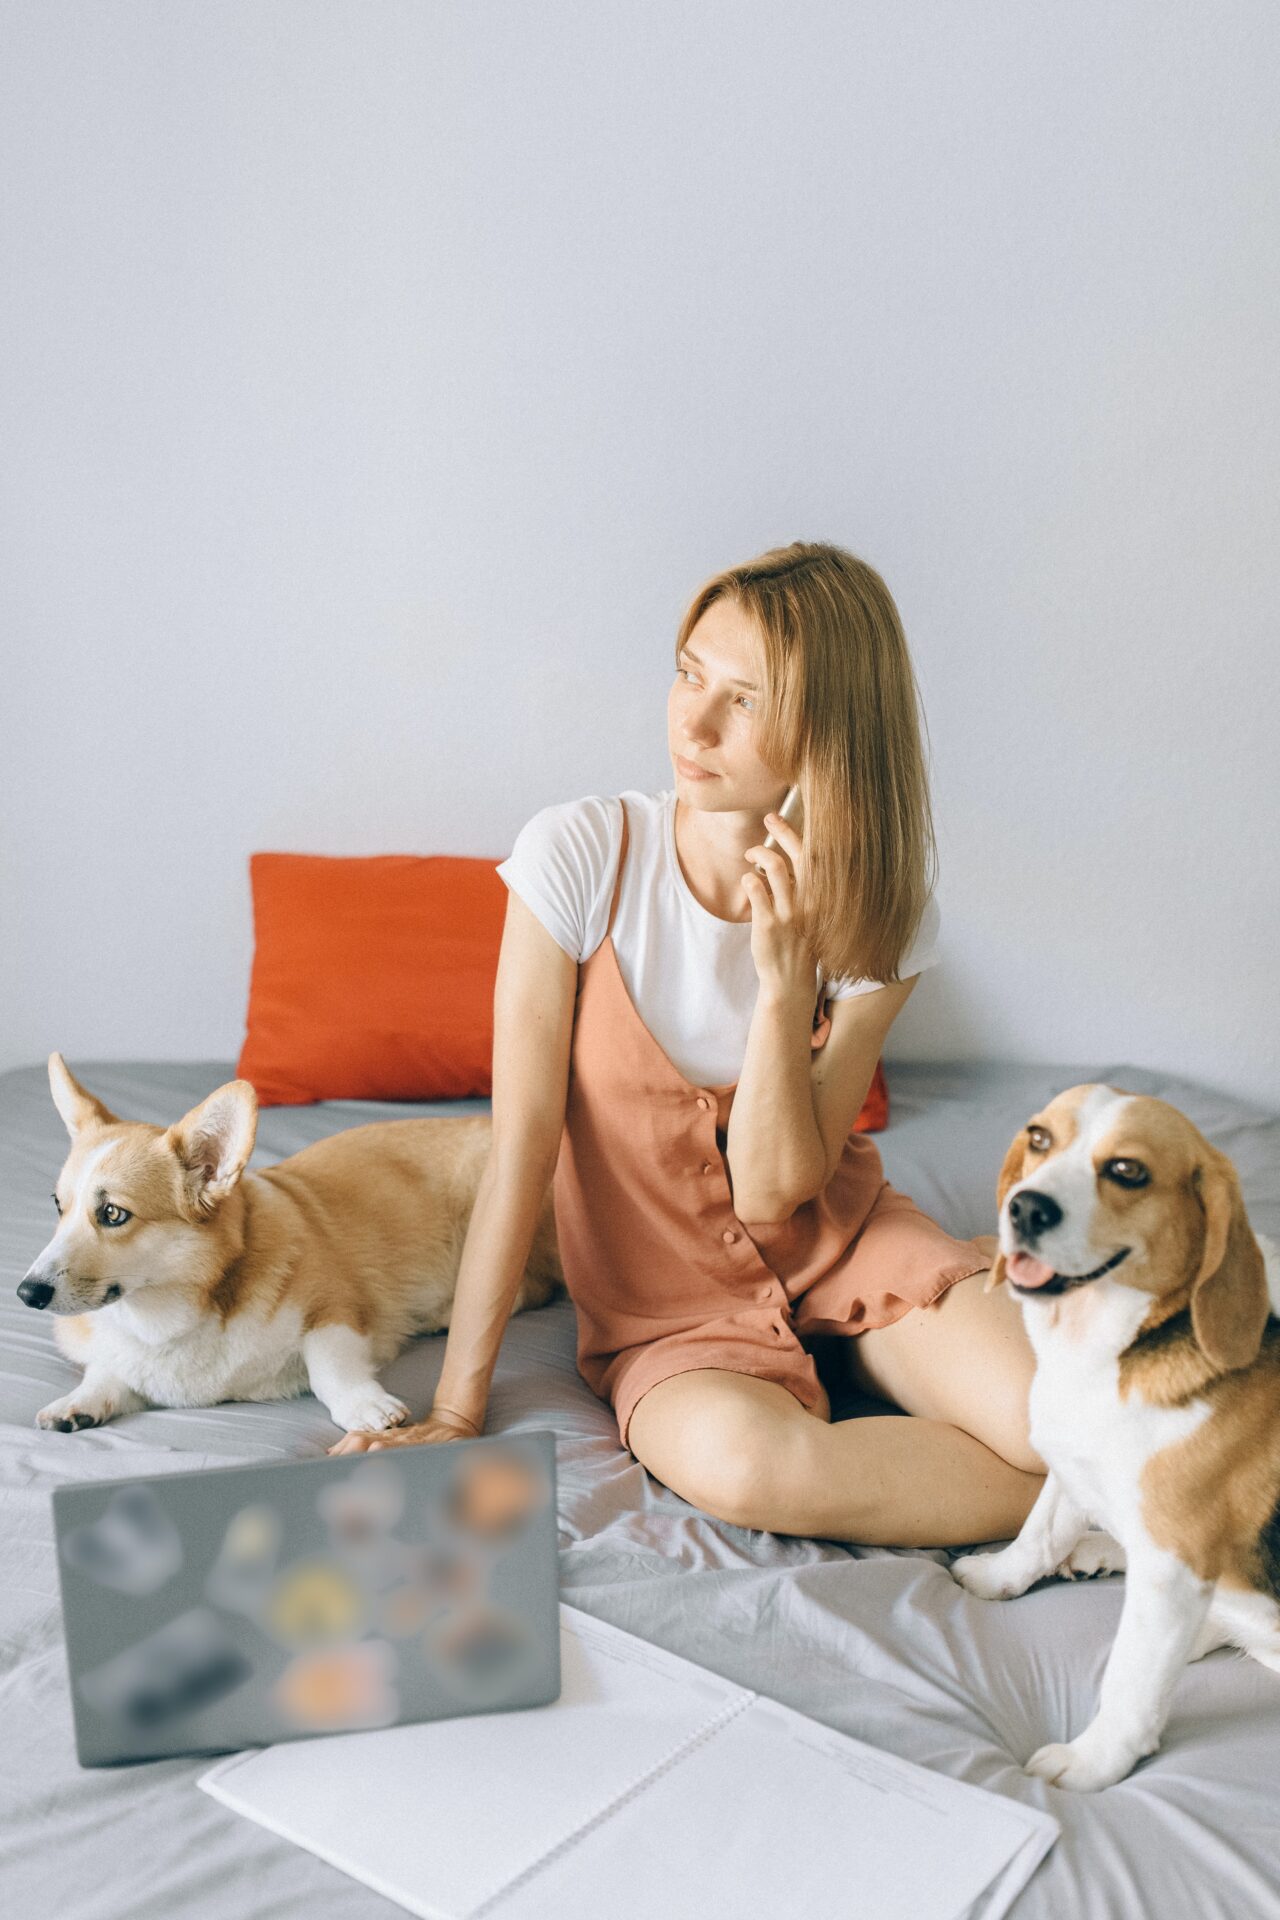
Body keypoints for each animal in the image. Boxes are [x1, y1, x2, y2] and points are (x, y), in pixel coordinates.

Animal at [17, 1059, 564, 1436]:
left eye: (113, 1214)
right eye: (58, 1205)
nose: (26, 1294)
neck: (166, 1318)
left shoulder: (336, 1310)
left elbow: (330, 1367)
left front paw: (367, 1407)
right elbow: (106, 1372)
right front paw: (75, 1404)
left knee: (528, 1289)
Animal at [951, 1090, 1280, 1789]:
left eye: (1128, 1171)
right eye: (1040, 1140)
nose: (1025, 1207)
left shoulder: (1175, 1565)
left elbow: (1131, 1678)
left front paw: (1094, 1759)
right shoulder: (1069, 1463)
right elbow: (1038, 1534)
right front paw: (997, 1576)